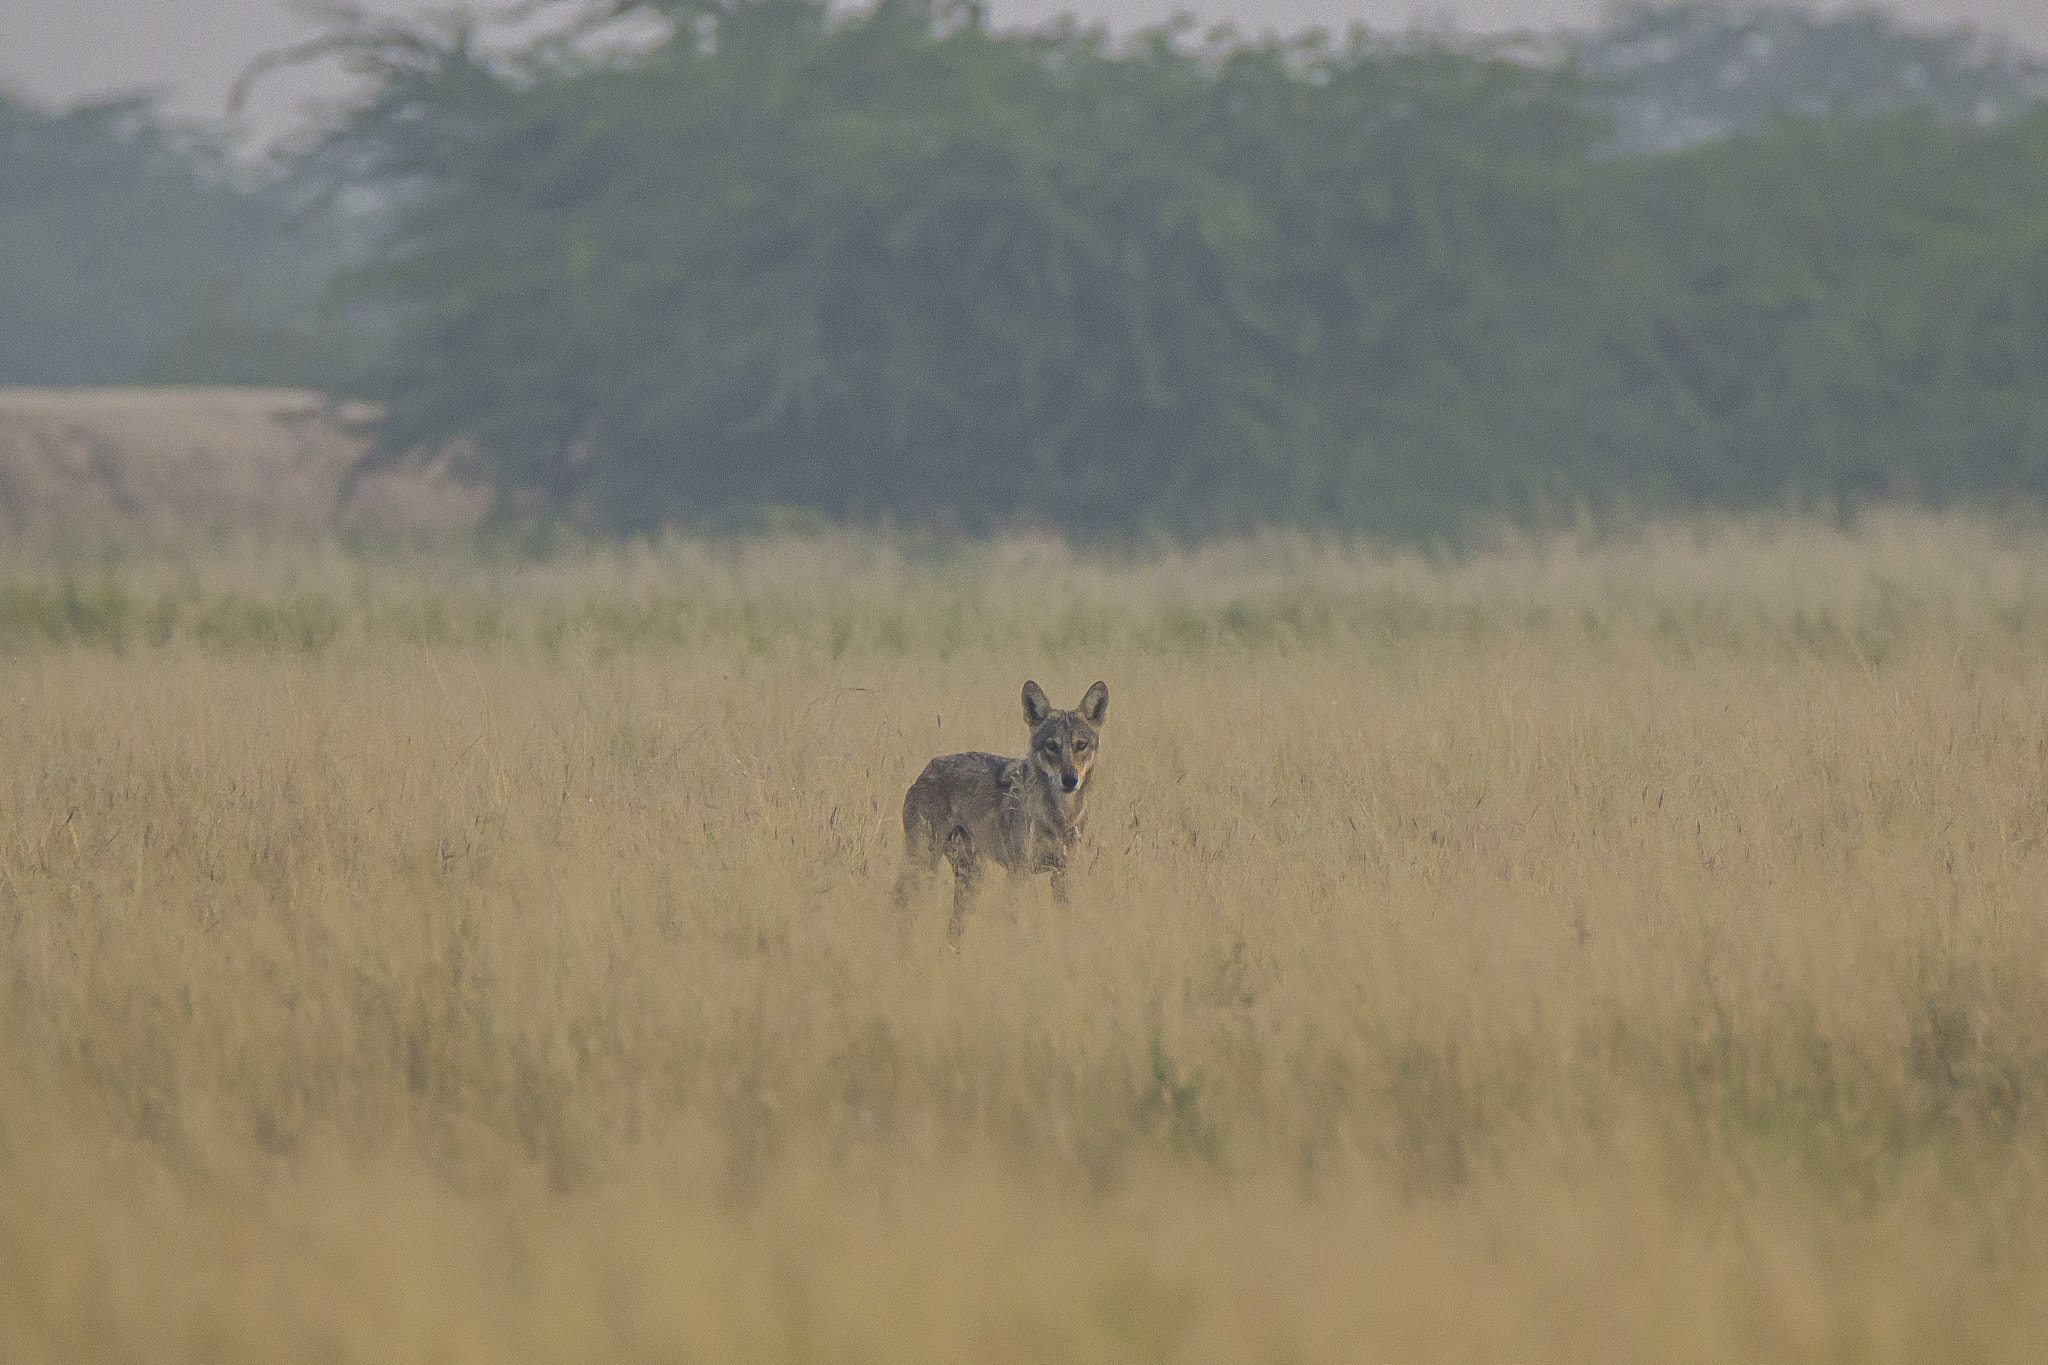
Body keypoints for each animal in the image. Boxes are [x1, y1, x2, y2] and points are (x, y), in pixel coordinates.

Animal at [895, 679, 1109, 947]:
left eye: (1081, 745)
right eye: (1051, 746)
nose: (1070, 780)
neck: (1059, 817)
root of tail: (928, 768)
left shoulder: (1063, 874)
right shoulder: (1018, 874)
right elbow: (1019, 925)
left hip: (972, 877)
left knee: (954, 925)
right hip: (926, 866)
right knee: (904, 906)